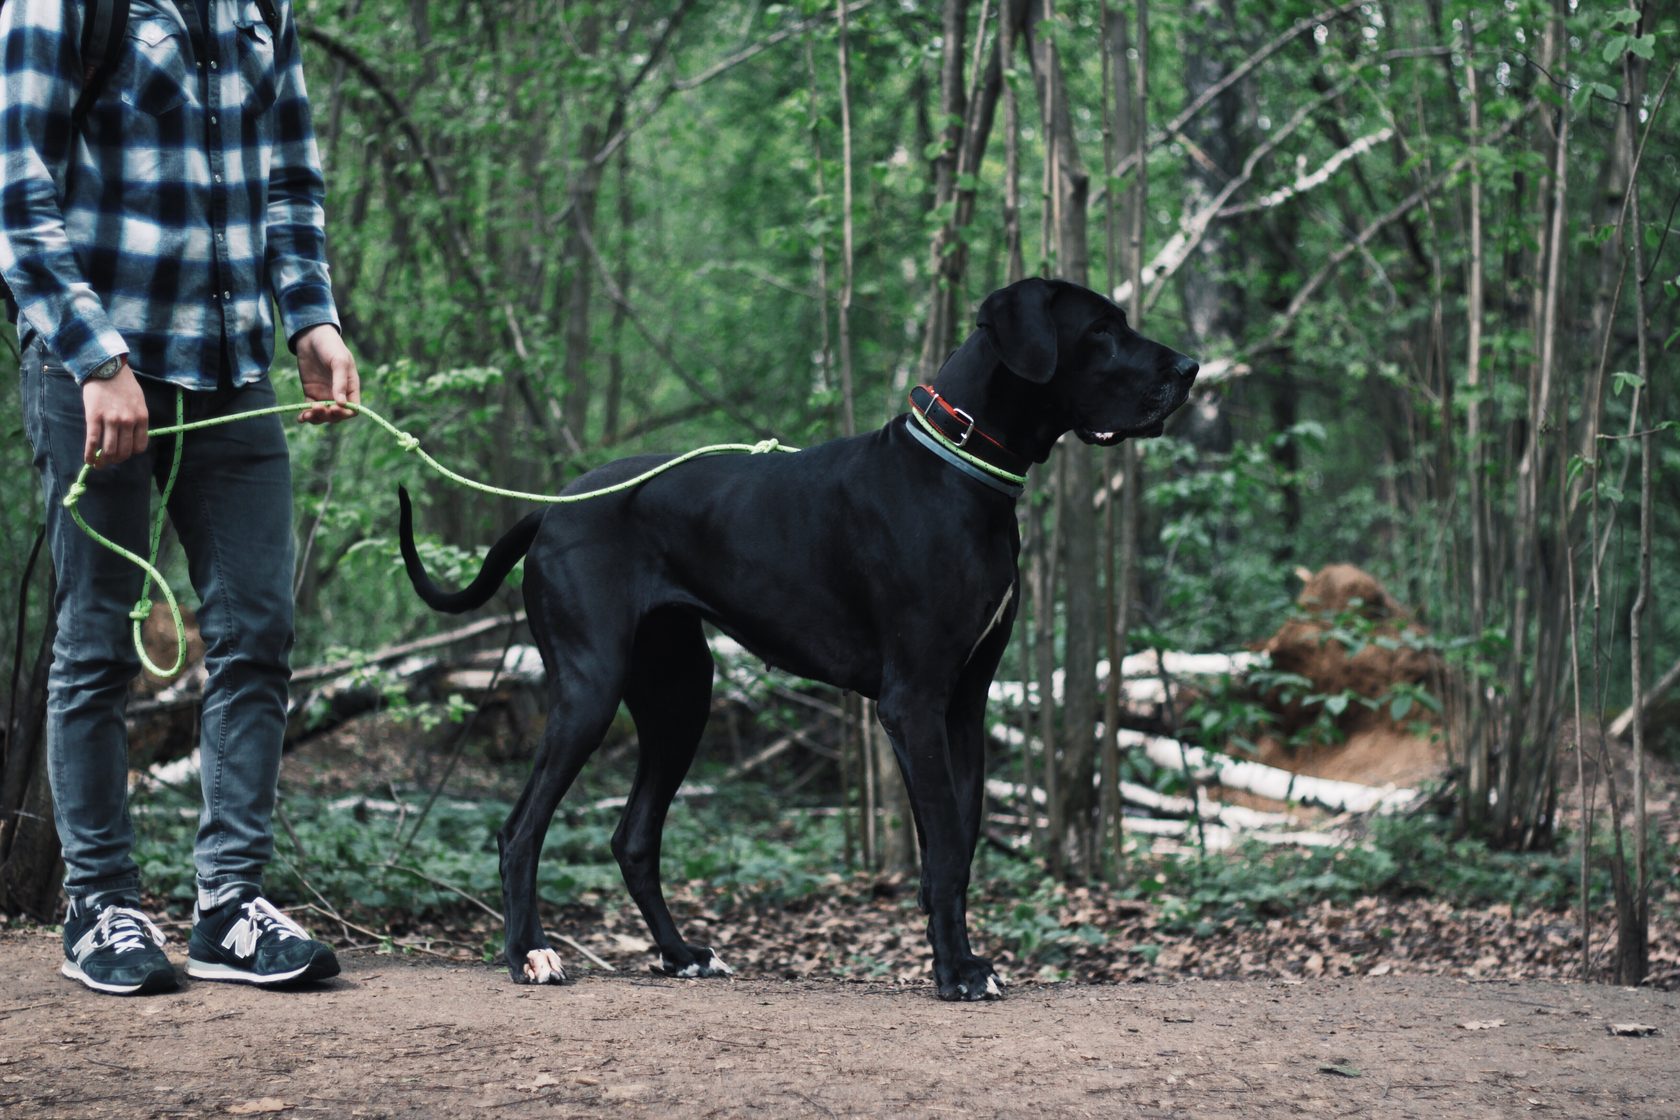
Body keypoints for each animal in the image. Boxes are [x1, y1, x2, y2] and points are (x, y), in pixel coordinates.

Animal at [401, 278, 1202, 1000]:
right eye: (1101, 329)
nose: (1192, 368)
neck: (961, 468)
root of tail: (553, 508)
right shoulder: (914, 702)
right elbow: (945, 845)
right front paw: (957, 971)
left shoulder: (965, 704)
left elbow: (961, 843)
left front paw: (958, 957)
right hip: (589, 690)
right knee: (520, 830)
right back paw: (529, 956)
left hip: (682, 695)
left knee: (634, 836)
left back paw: (680, 953)